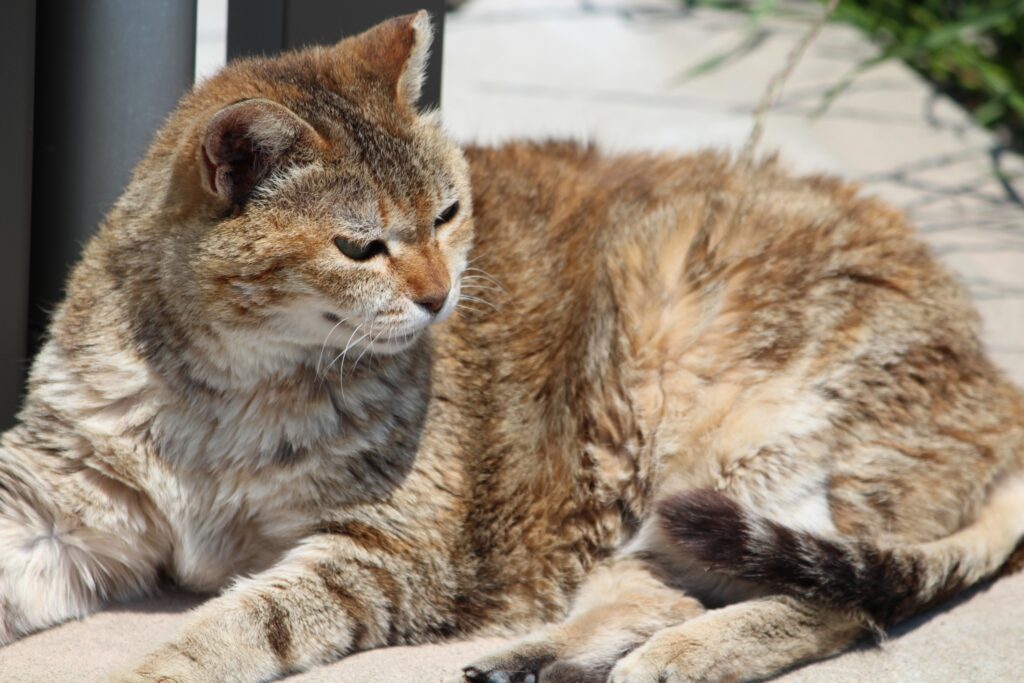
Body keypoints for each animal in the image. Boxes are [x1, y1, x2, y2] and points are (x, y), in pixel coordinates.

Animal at [0, 10, 1019, 683]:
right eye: (360, 247)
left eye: (449, 213)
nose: (439, 294)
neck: (227, 384)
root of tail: (998, 378)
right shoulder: (54, 496)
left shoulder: (385, 548)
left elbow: (247, 619)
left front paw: (159, 667)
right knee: (663, 585)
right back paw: (546, 654)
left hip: (733, 447)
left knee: (843, 597)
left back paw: (678, 657)